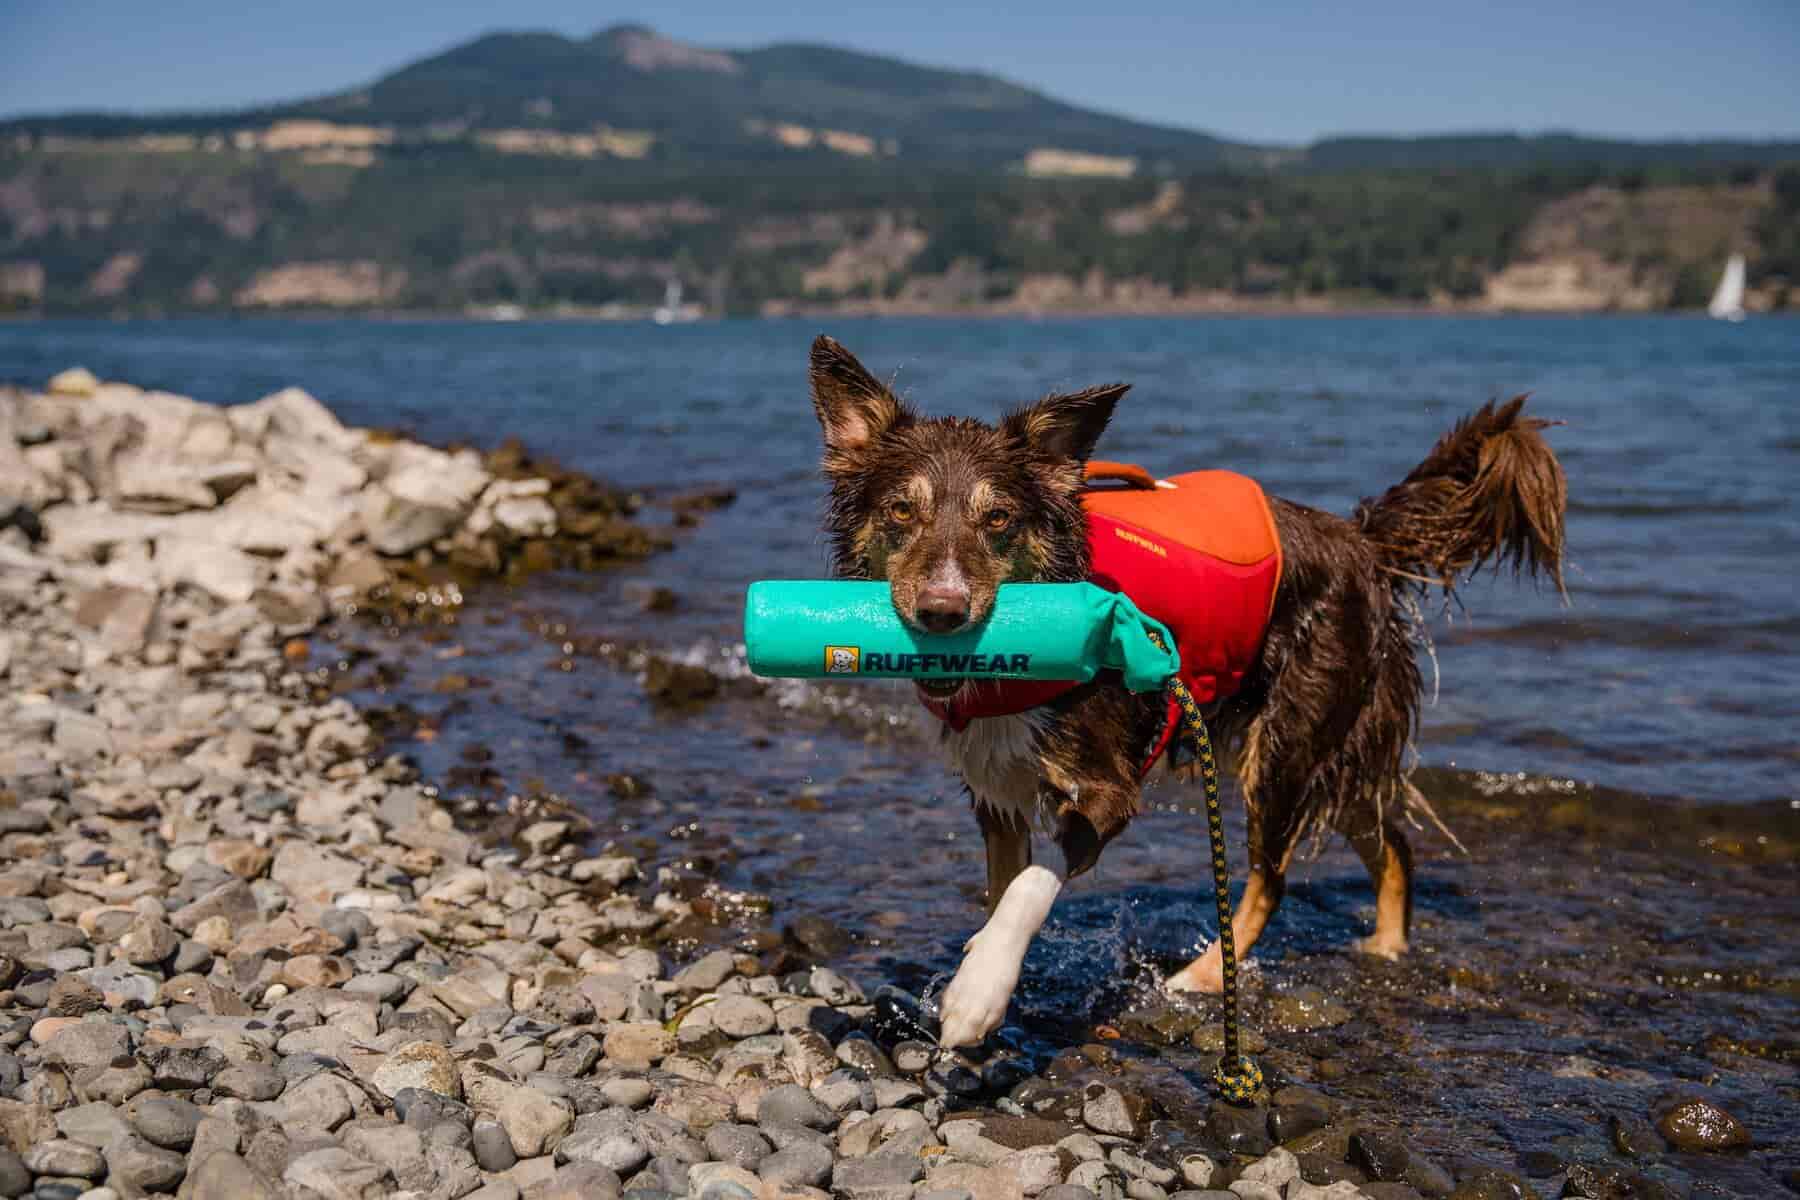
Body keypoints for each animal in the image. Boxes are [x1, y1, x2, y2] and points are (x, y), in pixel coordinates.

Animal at [810, 332, 1569, 1043]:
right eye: (901, 512)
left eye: (997, 519)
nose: (942, 612)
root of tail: (1360, 541)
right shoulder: (996, 789)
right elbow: (1002, 888)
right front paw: (985, 974)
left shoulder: (1111, 788)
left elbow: (1030, 883)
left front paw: (978, 993)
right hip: (1314, 747)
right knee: (1392, 845)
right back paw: (1383, 950)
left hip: (1285, 744)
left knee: (1272, 878)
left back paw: (1199, 979)